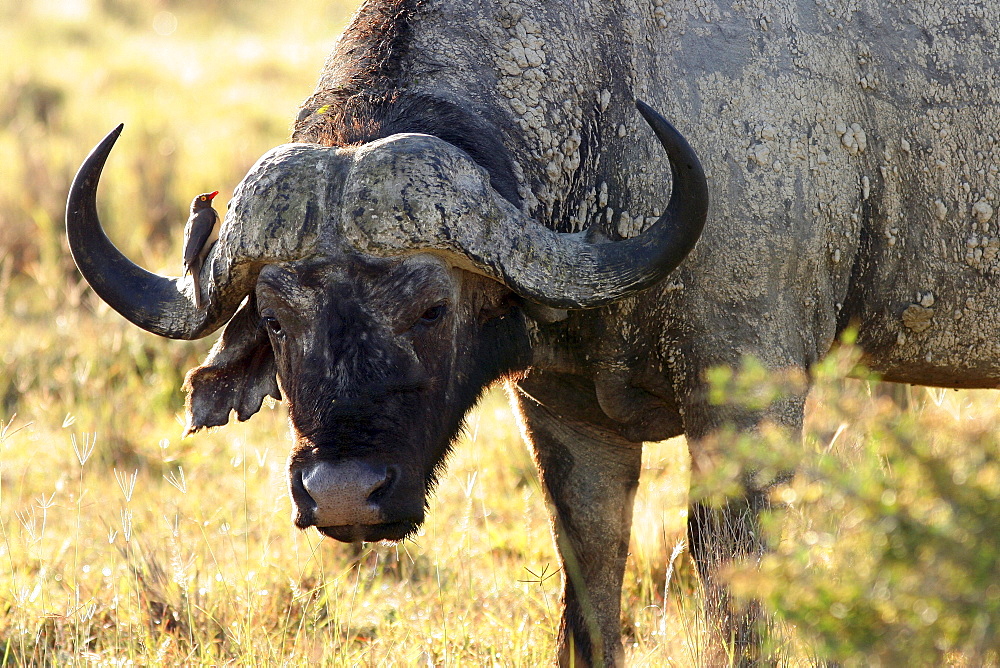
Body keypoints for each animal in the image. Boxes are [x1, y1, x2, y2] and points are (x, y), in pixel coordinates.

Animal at [66, 0, 1000, 664]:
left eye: (432, 308)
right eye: (277, 317)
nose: (343, 493)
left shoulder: (754, 391)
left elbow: (732, 575)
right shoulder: (566, 414)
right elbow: (589, 574)